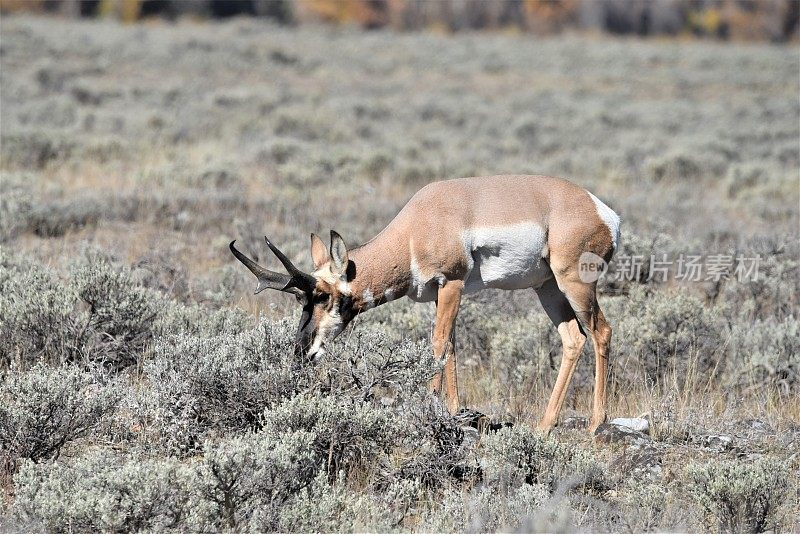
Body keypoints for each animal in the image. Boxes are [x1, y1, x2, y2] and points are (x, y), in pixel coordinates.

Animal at [228, 176, 620, 436]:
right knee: (573, 338)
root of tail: (602, 210)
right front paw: (453, 412)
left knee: (601, 331)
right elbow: (451, 346)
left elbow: (438, 344)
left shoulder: (453, 285)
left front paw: (431, 407)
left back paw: (595, 424)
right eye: (299, 298)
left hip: (573, 284)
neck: (418, 225)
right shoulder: (437, 295)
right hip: (547, 288)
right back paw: (543, 426)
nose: (301, 350)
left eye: (323, 295)